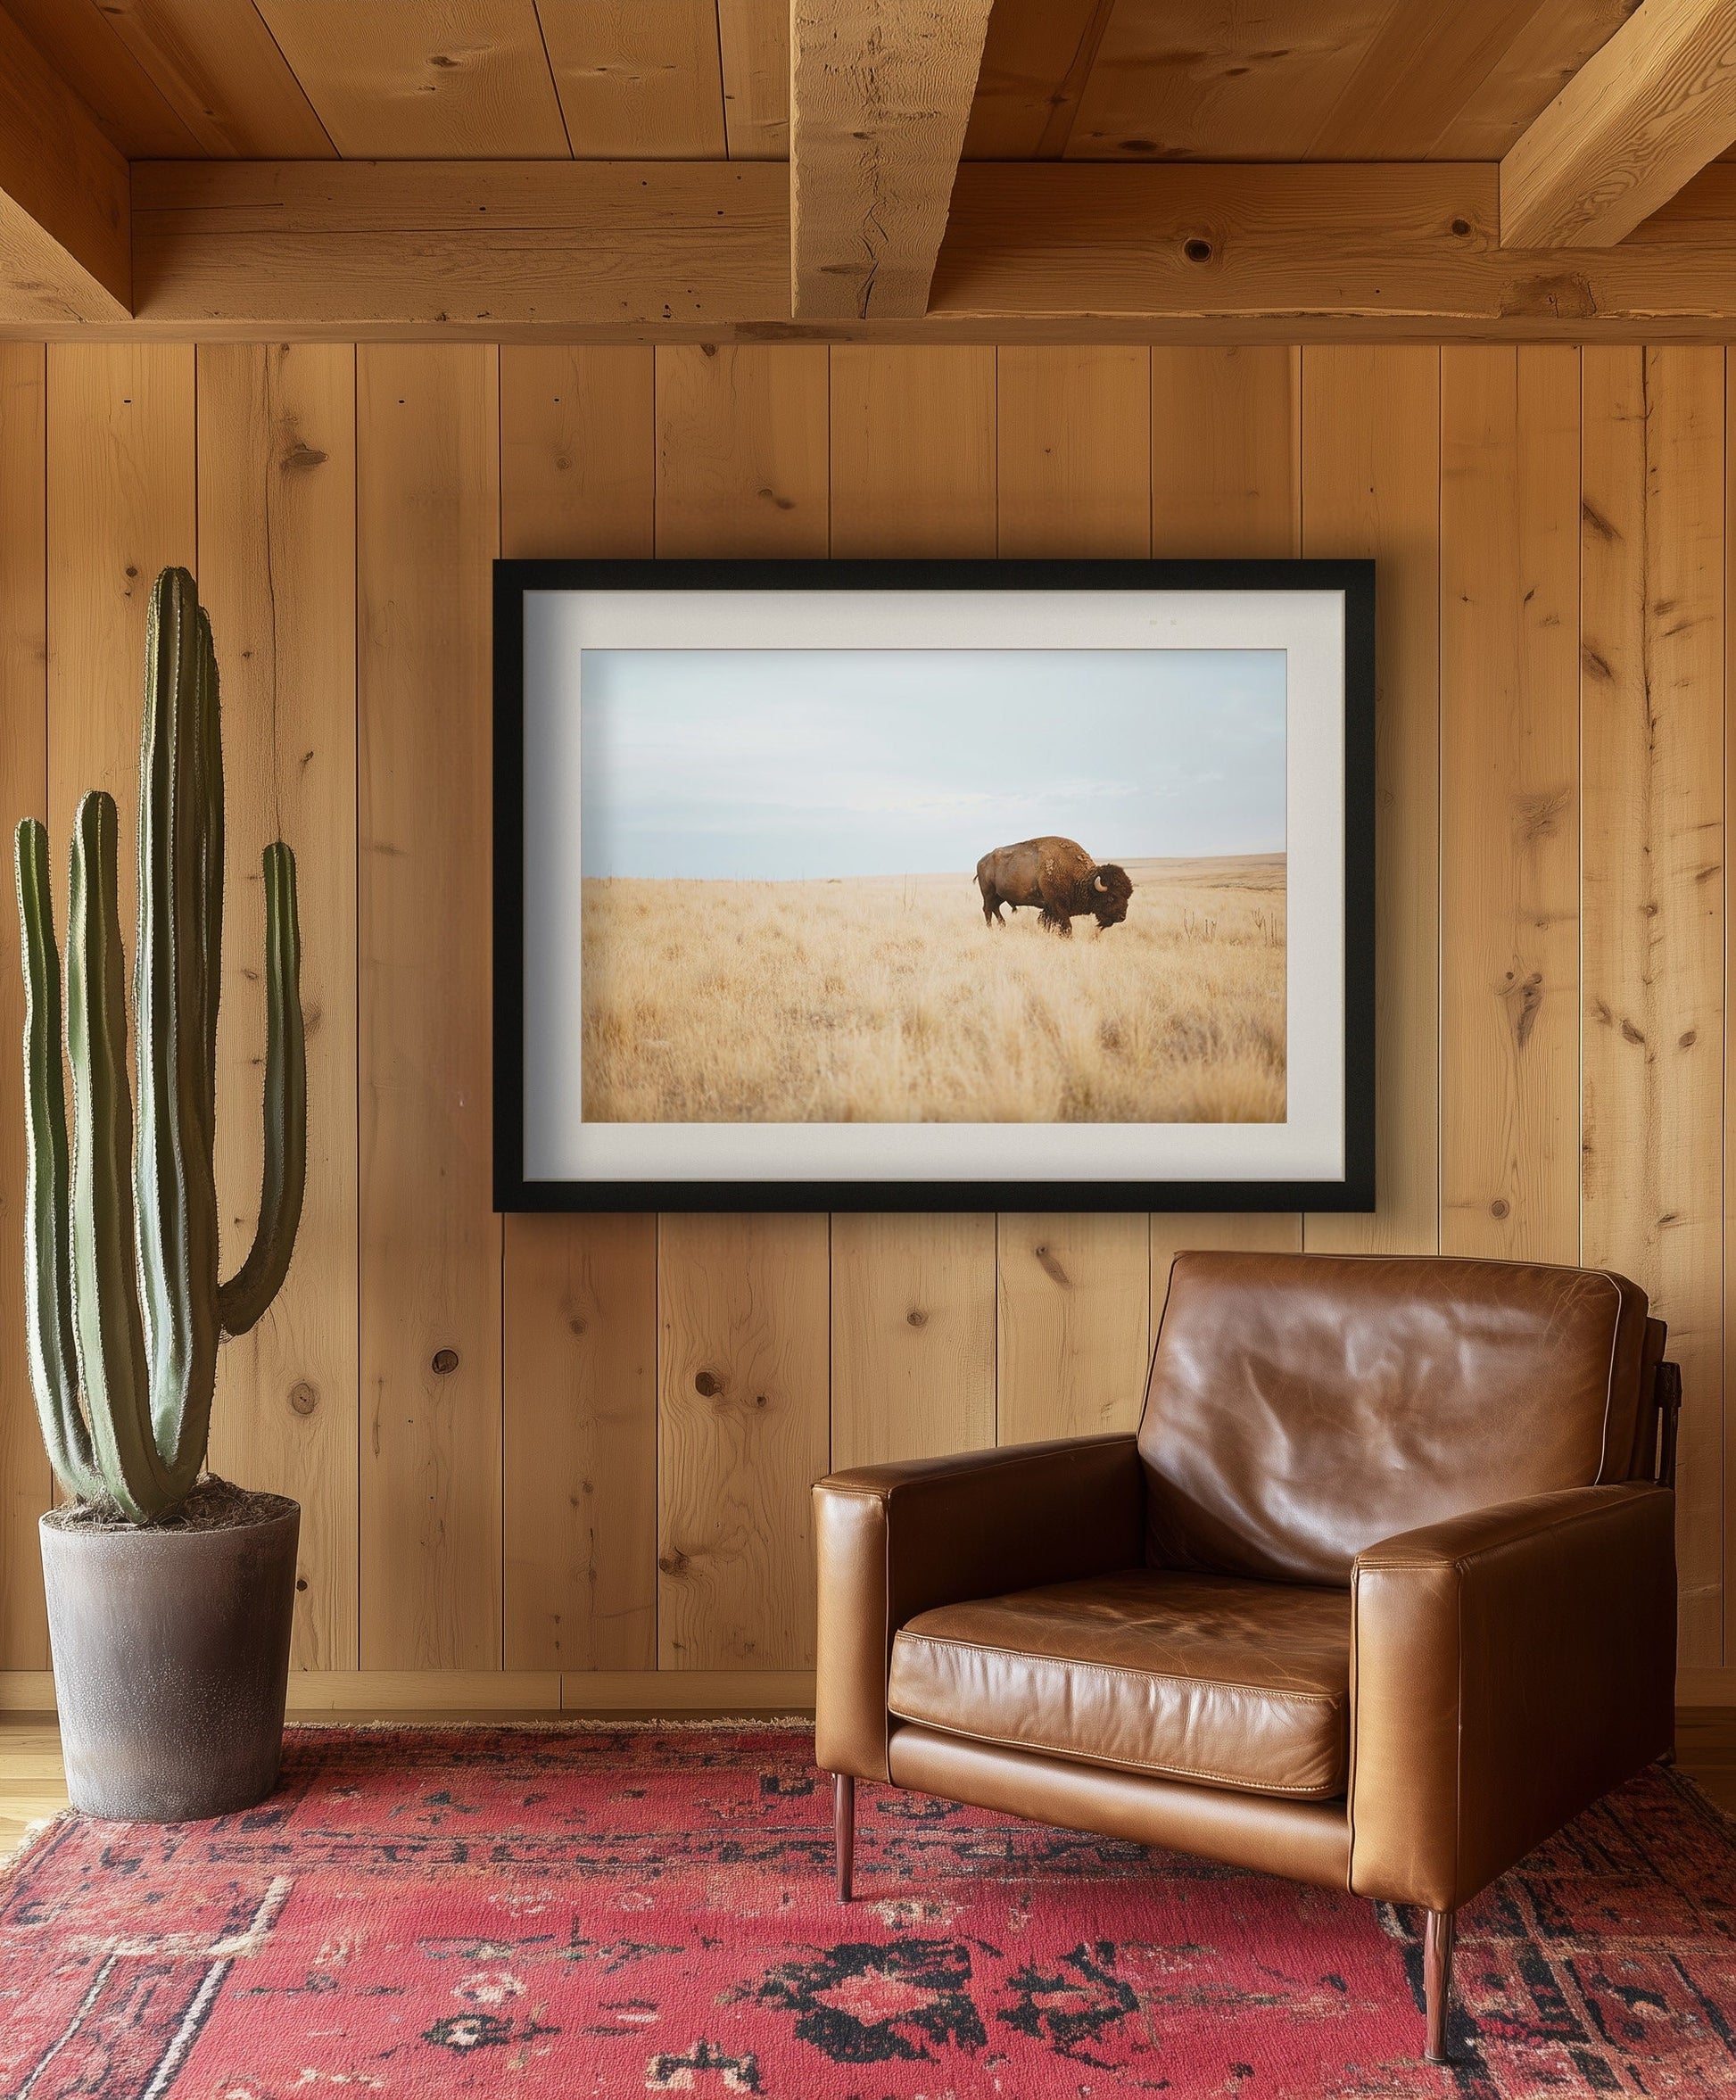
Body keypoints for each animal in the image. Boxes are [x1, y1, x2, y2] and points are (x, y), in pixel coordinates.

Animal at [978, 835, 1142, 936]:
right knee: (987, 910)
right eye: (1111, 897)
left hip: (999, 896)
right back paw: (991, 928)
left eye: (1127, 896)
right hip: (989, 893)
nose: (1122, 917)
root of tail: (981, 861)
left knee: (995, 909)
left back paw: (1002, 926)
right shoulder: (1058, 906)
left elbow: (1047, 923)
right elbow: (1066, 926)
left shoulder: (1050, 908)